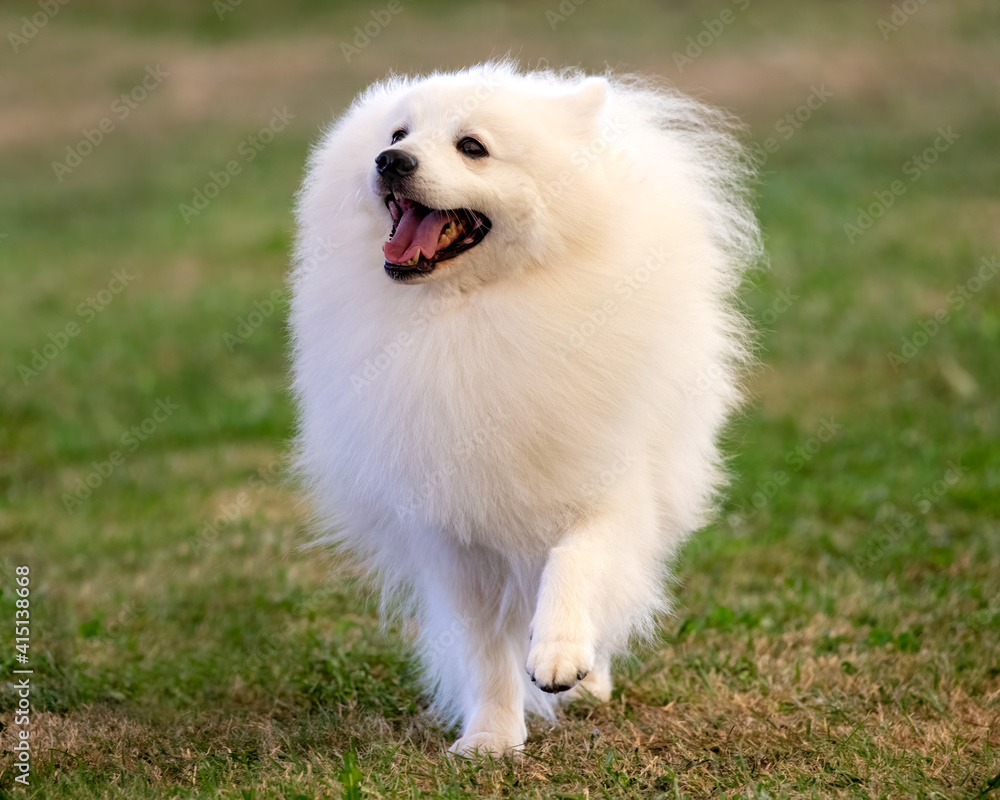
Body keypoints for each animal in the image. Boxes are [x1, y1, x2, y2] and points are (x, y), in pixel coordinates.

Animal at [292, 62, 760, 756]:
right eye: (398, 133)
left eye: (472, 147)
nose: (390, 160)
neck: (470, 315)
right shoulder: (455, 531)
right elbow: (486, 649)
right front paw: (489, 738)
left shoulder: (607, 484)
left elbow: (576, 560)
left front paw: (561, 654)